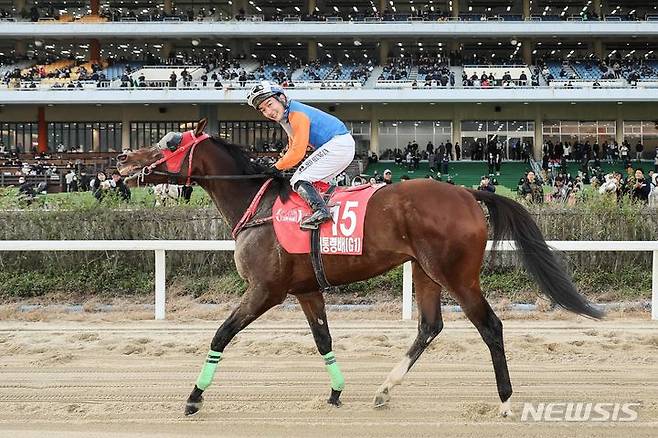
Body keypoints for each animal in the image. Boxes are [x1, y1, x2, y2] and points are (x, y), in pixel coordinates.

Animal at [116, 119, 600, 418]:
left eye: (170, 143)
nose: (121, 161)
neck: (259, 204)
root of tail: (468, 193)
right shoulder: (305, 290)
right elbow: (323, 339)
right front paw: (335, 393)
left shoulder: (265, 290)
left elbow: (221, 334)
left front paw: (194, 398)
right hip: (425, 271)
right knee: (430, 326)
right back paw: (384, 389)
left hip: (457, 275)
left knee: (491, 326)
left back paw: (503, 401)